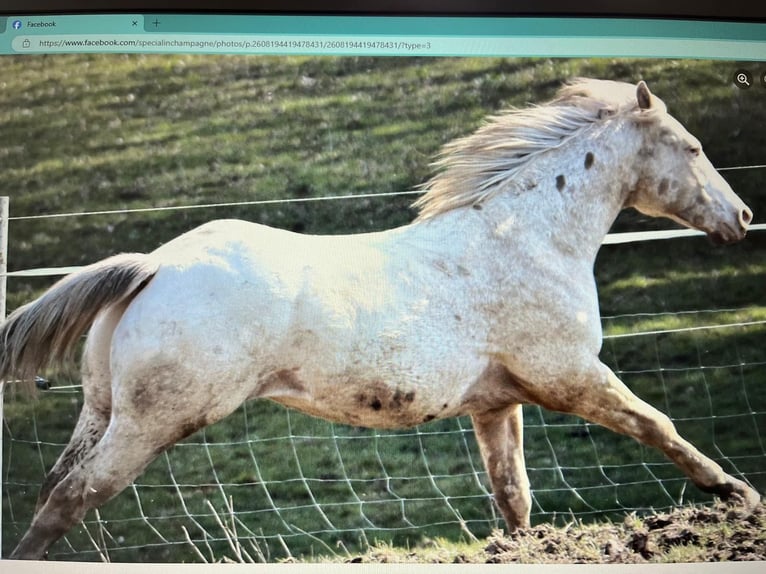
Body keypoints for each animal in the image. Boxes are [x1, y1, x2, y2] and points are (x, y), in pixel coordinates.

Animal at [2, 78, 759, 561]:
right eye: (692, 147)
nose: (744, 217)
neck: (528, 239)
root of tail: (154, 265)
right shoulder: (570, 375)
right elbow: (656, 424)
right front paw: (735, 492)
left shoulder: (498, 403)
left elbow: (513, 496)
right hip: (156, 421)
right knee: (73, 496)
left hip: (103, 410)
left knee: (52, 487)